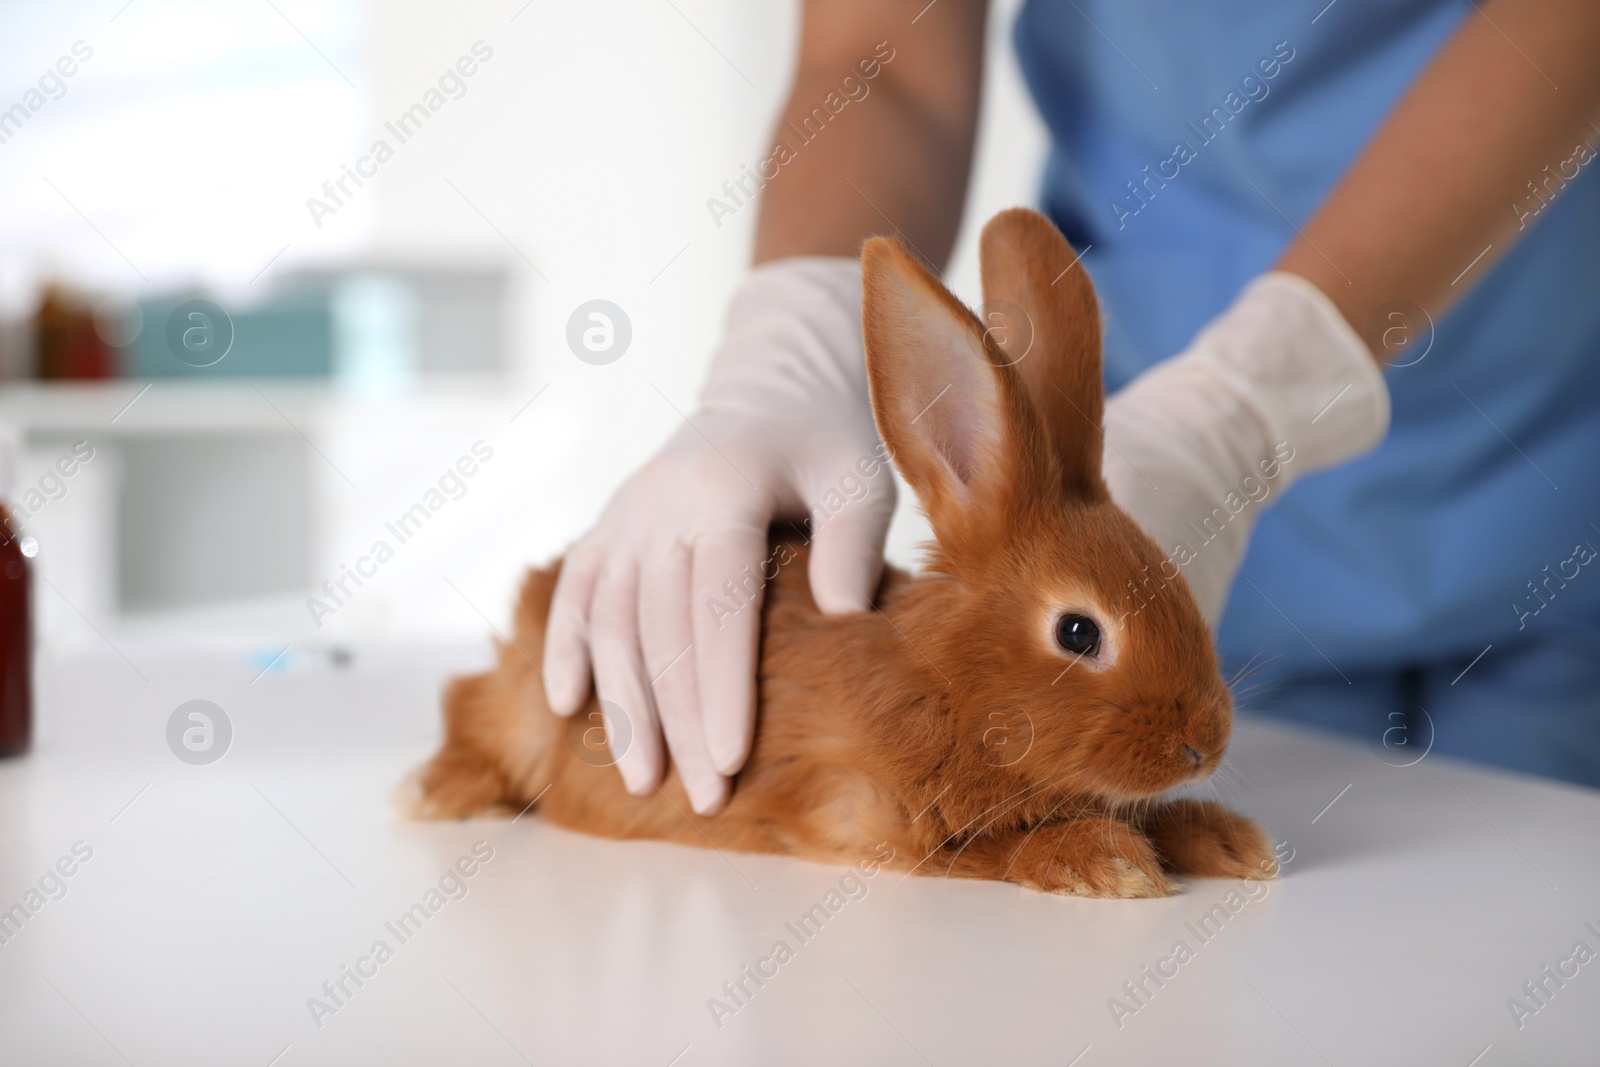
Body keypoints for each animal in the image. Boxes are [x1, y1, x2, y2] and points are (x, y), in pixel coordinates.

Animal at [409, 207, 1273, 902]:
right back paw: (437, 791)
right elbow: (997, 848)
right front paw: (1107, 862)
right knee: (467, 710)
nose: (1206, 743)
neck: (948, 687)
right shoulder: (871, 816)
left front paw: (1230, 841)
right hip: (532, 699)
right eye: (1078, 632)